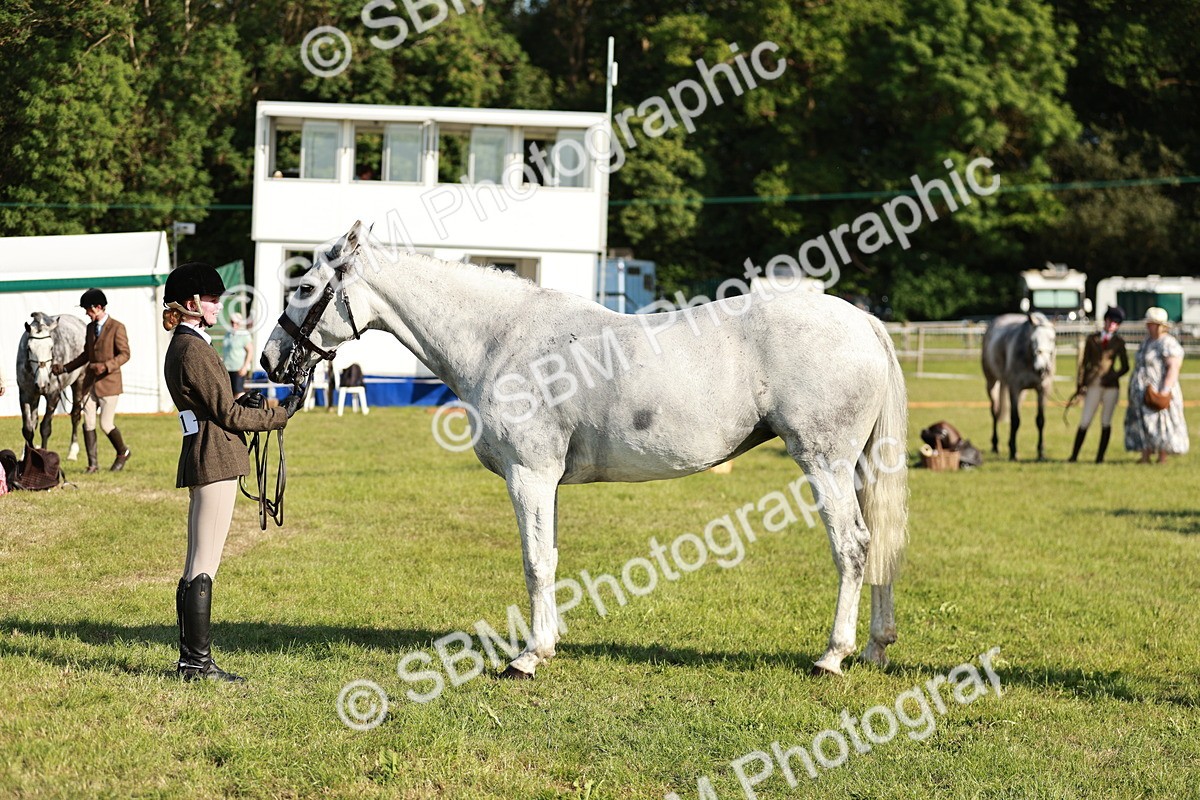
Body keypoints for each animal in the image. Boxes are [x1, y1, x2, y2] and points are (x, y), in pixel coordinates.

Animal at [17, 312, 86, 459]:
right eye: (29, 348)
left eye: (51, 347)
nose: (42, 385)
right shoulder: (26, 395)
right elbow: (28, 429)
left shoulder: (53, 395)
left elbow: (45, 428)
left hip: (80, 381)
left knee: (76, 414)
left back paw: (72, 452)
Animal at [261, 221, 909, 678]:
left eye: (305, 287)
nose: (269, 360)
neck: (501, 338)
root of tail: (863, 322)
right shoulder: (546, 481)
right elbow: (549, 557)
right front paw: (546, 645)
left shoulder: (529, 474)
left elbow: (535, 562)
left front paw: (527, 658)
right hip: (857, 467)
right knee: (878, 541)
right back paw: (875, 648)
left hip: (823, 462)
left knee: (853, 546)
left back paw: (833, 655)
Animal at [982, 312, 1056, 461]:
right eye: (1033, 340)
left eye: (1052, 339)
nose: (1042, 368)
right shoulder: (1015, 389)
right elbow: (1015, 420)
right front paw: (1013, 452)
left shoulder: (1042, 390)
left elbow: (1040, 420)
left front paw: (1041, 452)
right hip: (992, 383)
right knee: (995, 412)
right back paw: (995, 445)